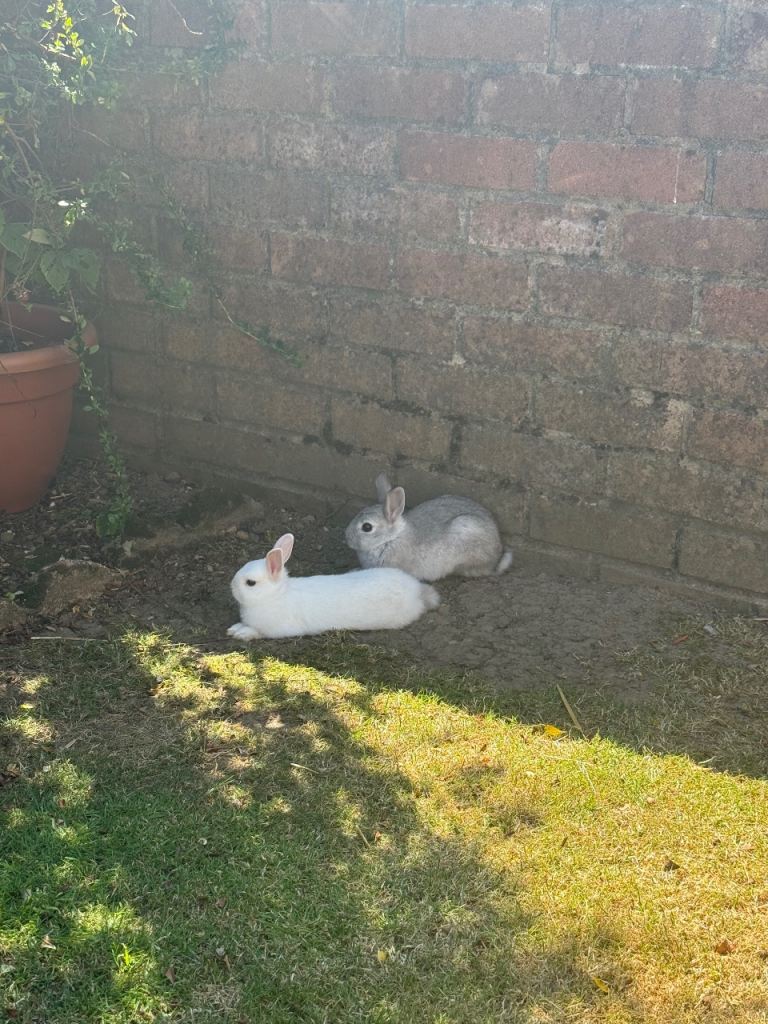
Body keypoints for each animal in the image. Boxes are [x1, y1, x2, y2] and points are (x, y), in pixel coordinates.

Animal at [227, 532, 440, 640]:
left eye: (250, 583)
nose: (231, 587)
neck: (275, 595)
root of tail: (418, 591)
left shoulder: (279, 629)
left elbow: (257, 632)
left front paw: (241, 633)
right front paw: (234, 628)